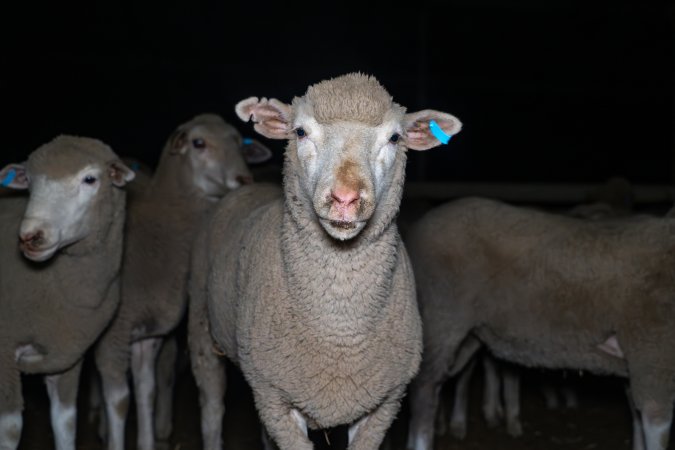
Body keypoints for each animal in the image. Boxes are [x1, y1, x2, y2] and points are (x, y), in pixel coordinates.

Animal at [0, 137, 135, 450]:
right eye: (29, 182)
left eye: (90, 179)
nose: (30, 236)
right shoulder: (3, 352)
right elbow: (10, 430)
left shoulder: (66, 354)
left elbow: (66, 423)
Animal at [93, 114, 274, 450]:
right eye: (198, 143)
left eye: (238, 141)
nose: (243, 179)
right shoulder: (115, 333)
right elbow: (119, 400)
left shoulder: (148, 331)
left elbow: (147, 390)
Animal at [187, 74, 464, 450]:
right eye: (301, 132)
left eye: (395, 137)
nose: (345, 198)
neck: (339, 329)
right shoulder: (275, 399)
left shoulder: (383, 404)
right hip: (202, 329)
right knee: (212, 406)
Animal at [410, 196, 675, 450]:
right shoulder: (654, 357)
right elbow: (657, 432)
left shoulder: (636, 364)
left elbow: (637, 422)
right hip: (441, 318)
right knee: (424, 392)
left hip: (468, 335)